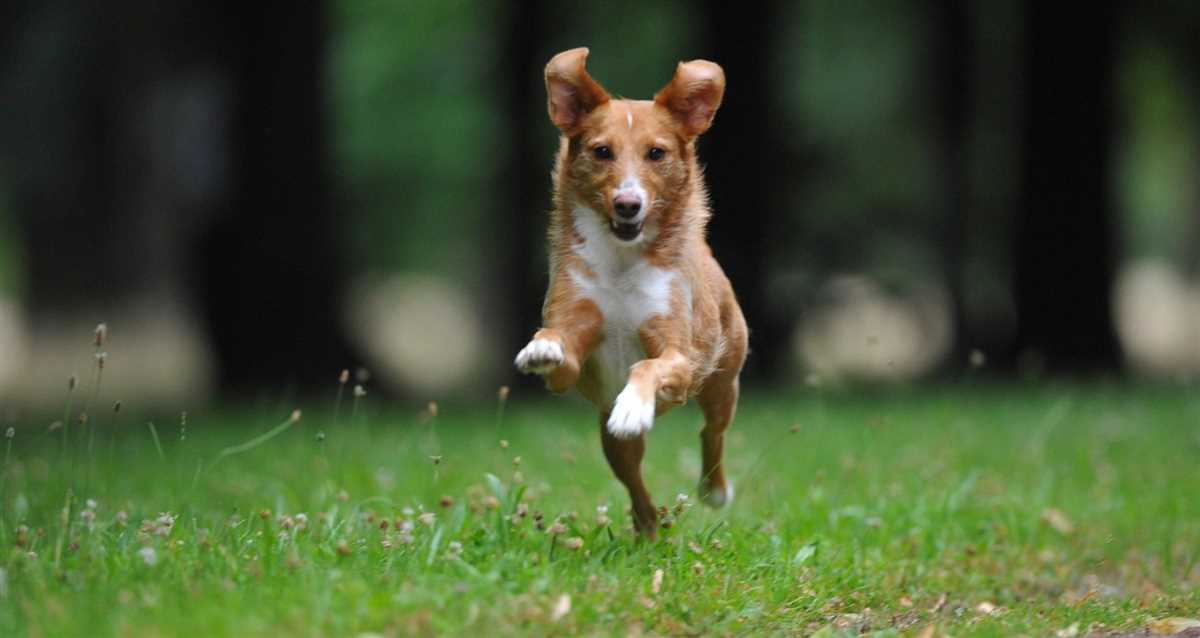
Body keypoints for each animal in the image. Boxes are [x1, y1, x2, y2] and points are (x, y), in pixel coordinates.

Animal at [516, 48, 748, 537]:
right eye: (601, 151)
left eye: (656, 153)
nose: (628, 204)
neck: (622, 263)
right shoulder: (573, 347)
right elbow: (558, 347)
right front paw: (542, 347)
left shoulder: (678, 355)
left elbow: (648, 365)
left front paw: (633, 405)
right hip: (614, 445)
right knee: (635, 484)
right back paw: (649, 529)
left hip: (722, 380)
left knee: (712, 431)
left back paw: (713, 490)